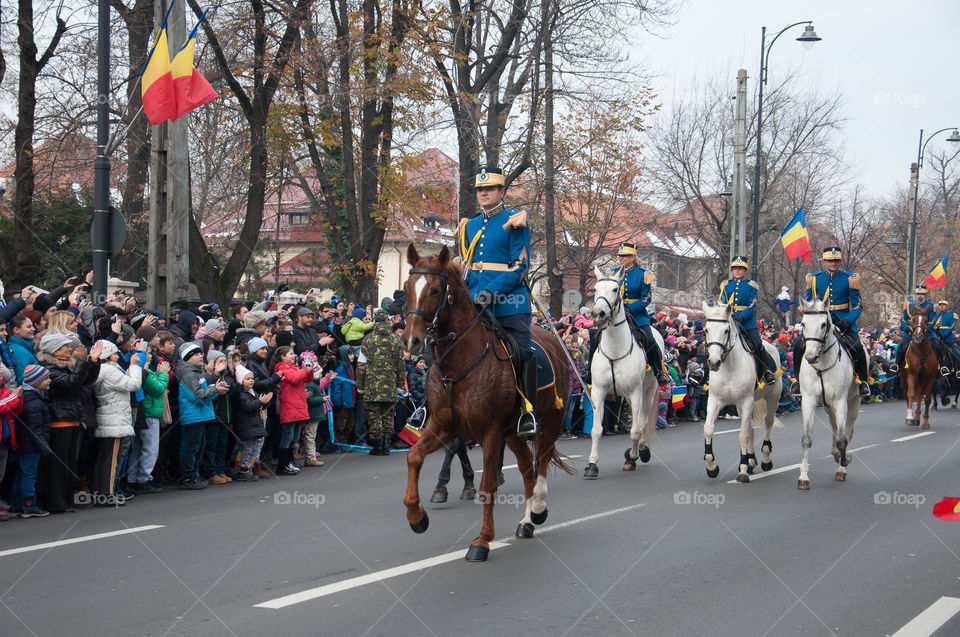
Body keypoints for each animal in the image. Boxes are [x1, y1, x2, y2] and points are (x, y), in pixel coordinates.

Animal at [400, 243, 568, 560]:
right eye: (406, 287)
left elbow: (487, 485)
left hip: (550, 423)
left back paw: (538, 509)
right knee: (527, 468)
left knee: (540, 465)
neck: (458, 362)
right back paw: (526, 523)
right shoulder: (443, 425)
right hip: (513, 432)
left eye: (436, 289)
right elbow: (413, 456)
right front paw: (417, 517)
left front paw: (482, 541)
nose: (411, 341)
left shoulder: (489, 432)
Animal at [580, 264, 664, 476]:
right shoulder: (599, 392)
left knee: (642, 423)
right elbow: (596, 430)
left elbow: (635, 430)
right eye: (595, 289)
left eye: (615, 289)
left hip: (648, 392)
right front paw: (592, 464)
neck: (615, 349)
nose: (598, 313)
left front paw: (632, 457)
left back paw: (641, 451)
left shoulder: (635, 393)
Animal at [700, 302, 784, 482]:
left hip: (772, 397)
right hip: (740, 405)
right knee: (751, 427)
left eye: (726, 330)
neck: (730, 366)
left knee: (768, 422)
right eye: (706, 330)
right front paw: (712, 466)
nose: (714, 362)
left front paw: (743, 470)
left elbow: (743, 434)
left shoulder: (747, 401)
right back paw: (751, 460)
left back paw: (765, 459)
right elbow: (709, 429)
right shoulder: (715, 400)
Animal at [796, 296, 864, 486]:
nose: (810, 357)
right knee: (834, 426)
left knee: (847, 430)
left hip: (853, 403)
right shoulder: (809, 400)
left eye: (823, 324)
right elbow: (807, 438)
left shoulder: (840, 401)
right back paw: (835, 454)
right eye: (803, 323)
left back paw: (841, 464)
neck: (822, 364)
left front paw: (844, 461)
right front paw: (803, 477)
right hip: (828, 406)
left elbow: (842, 439)